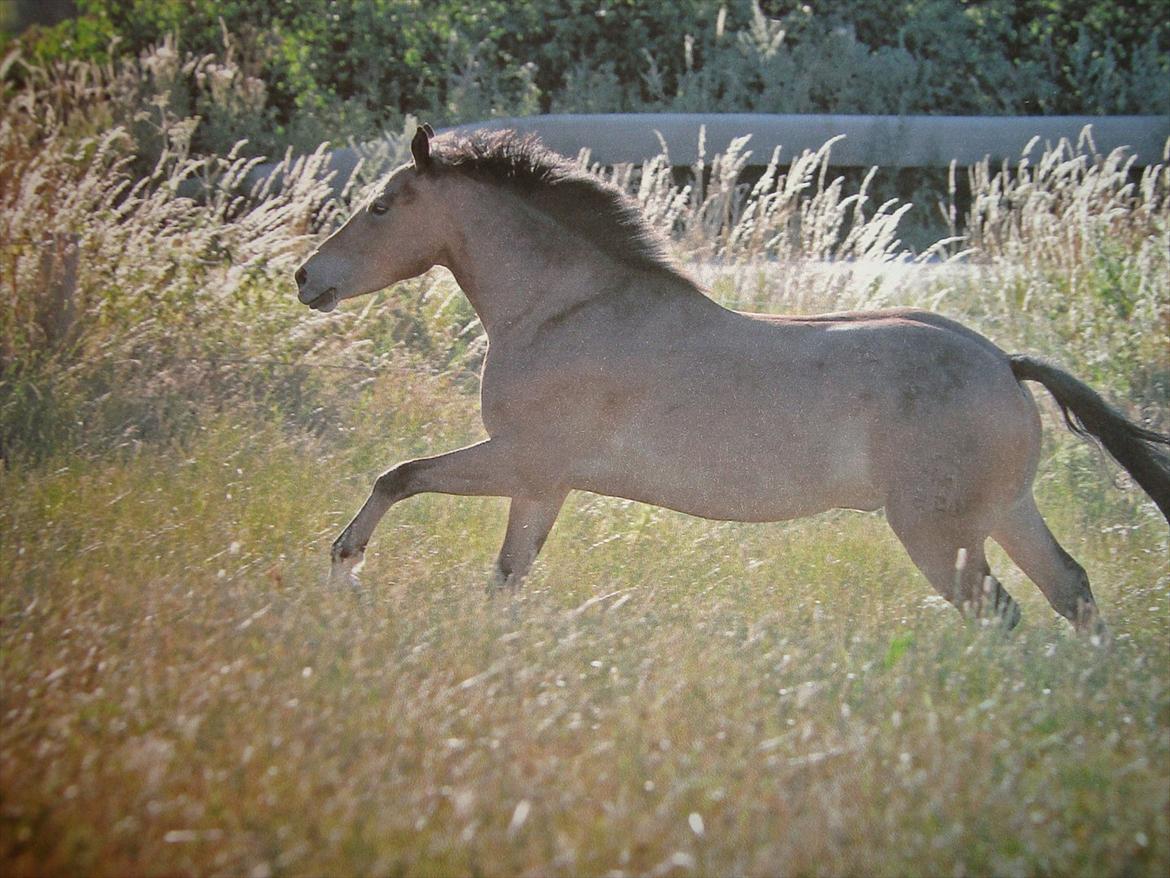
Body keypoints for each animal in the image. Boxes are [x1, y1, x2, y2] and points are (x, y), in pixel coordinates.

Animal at [294, 125, 1170, 632]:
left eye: (381, 206)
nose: (307, 278)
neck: (562, 309)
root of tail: (1003, 363)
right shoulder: (541, 486)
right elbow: (505, 579)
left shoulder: (522, 460)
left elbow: (398, 476)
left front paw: (345, 568)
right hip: (1005, 512)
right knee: (1072, 591)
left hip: (940, 534)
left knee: (1004, 616)